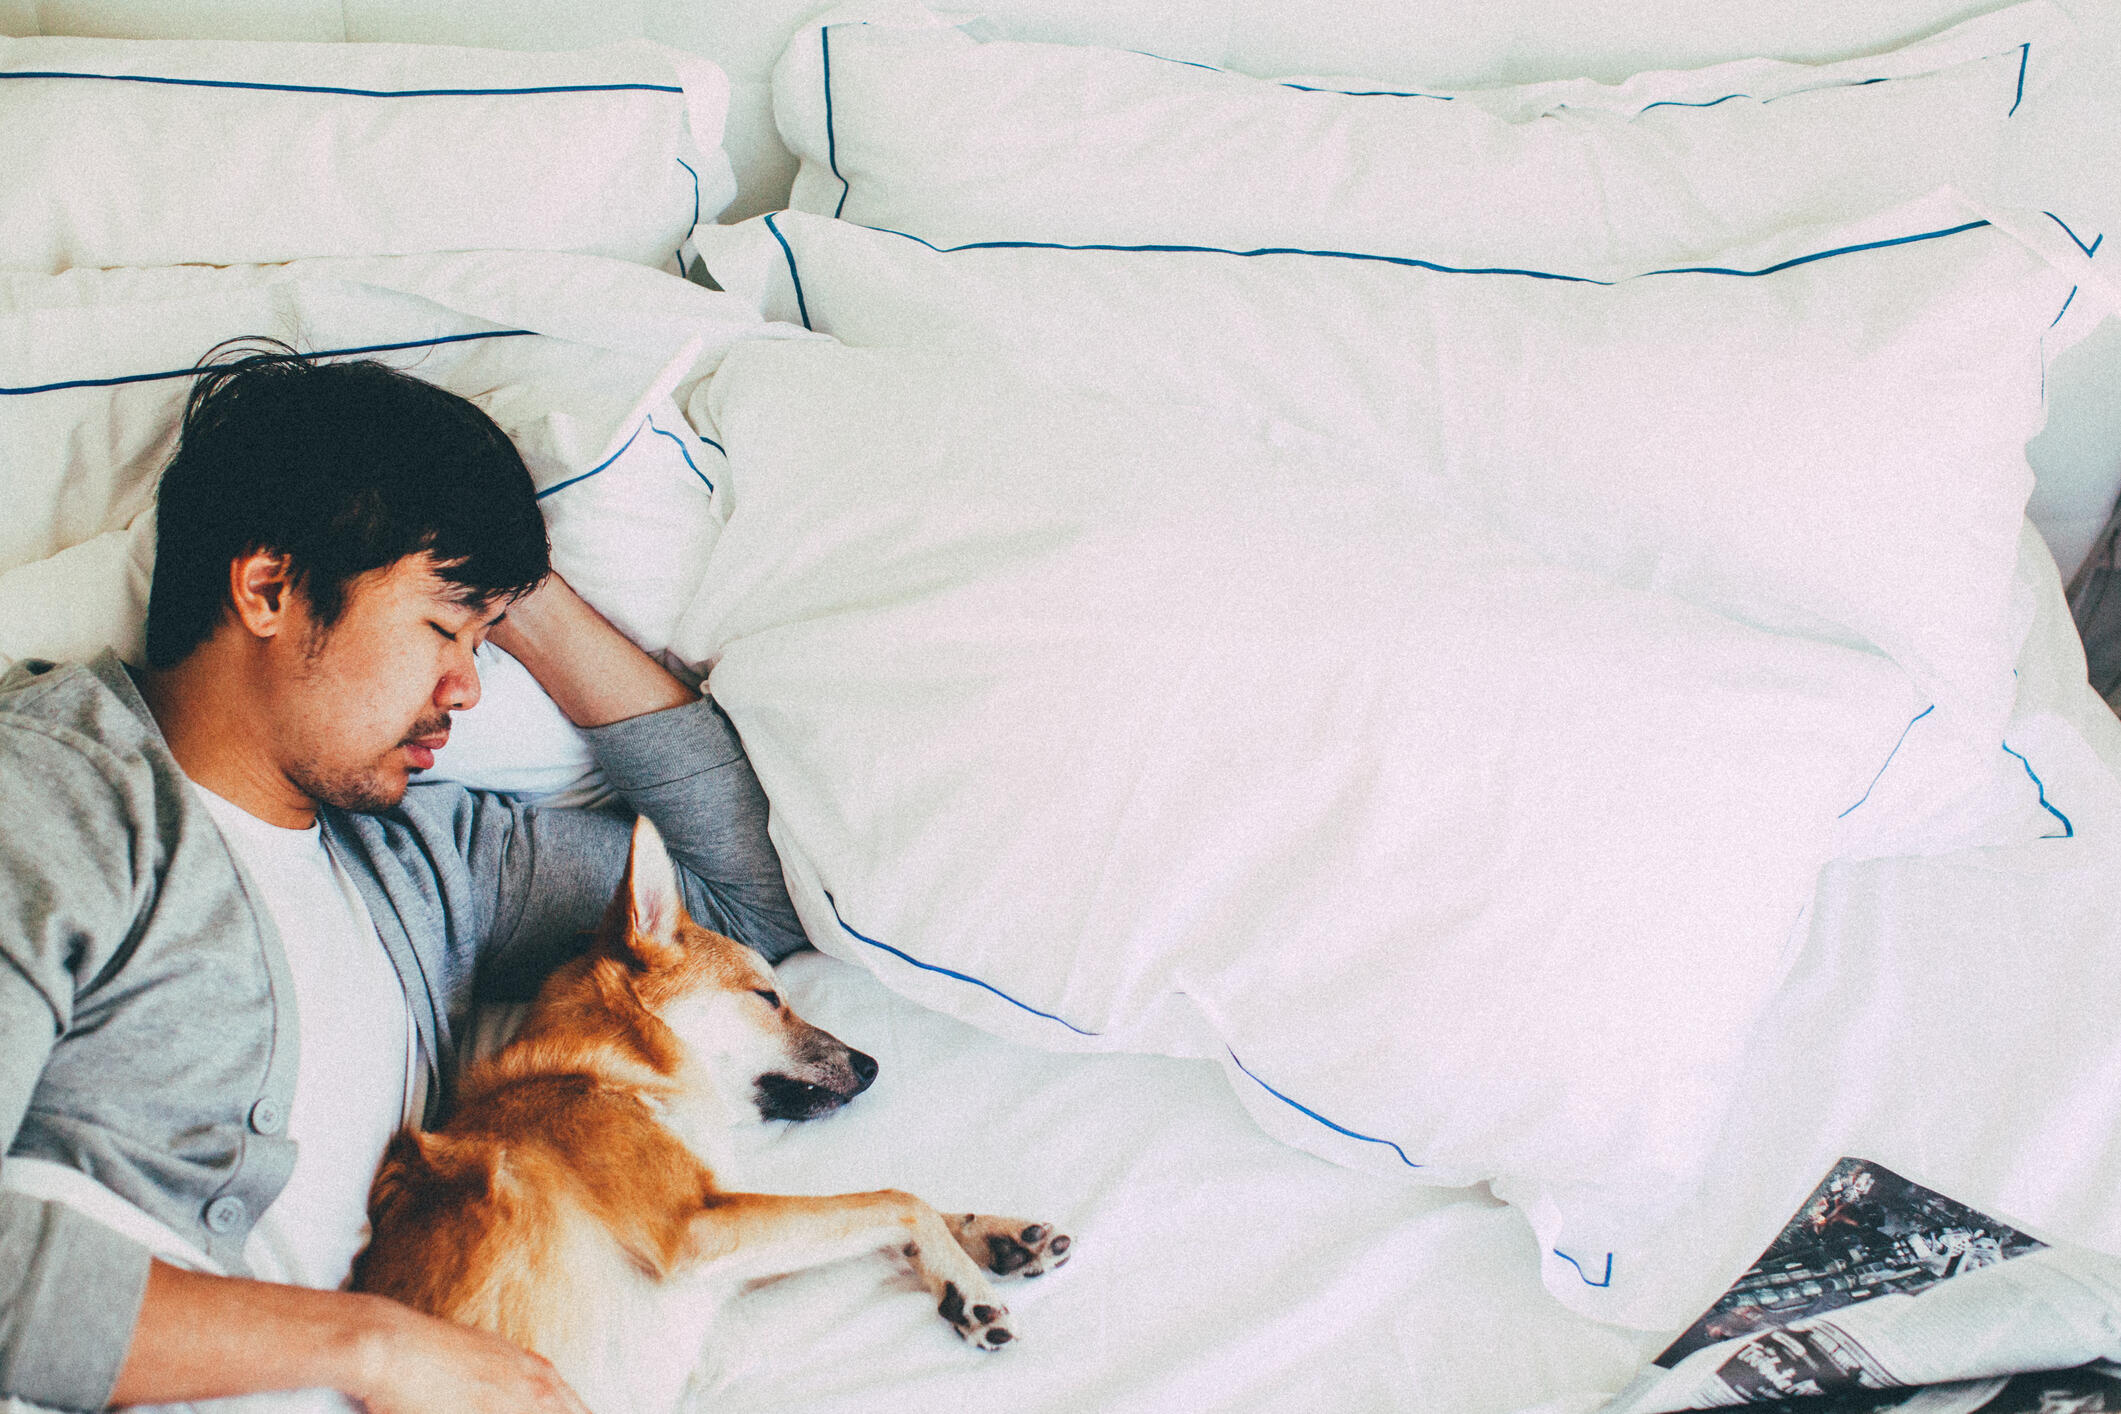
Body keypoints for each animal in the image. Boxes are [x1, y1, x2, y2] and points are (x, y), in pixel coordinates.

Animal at [358, 818, 1077, 1414]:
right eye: (768, 997)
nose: (873, 1065)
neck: (615, 1075)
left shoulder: (711, 1325)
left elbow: (888, 1228)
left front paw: (991, 1240)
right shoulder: (695, 1229)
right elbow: (897, 1201)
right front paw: (968, 1284)